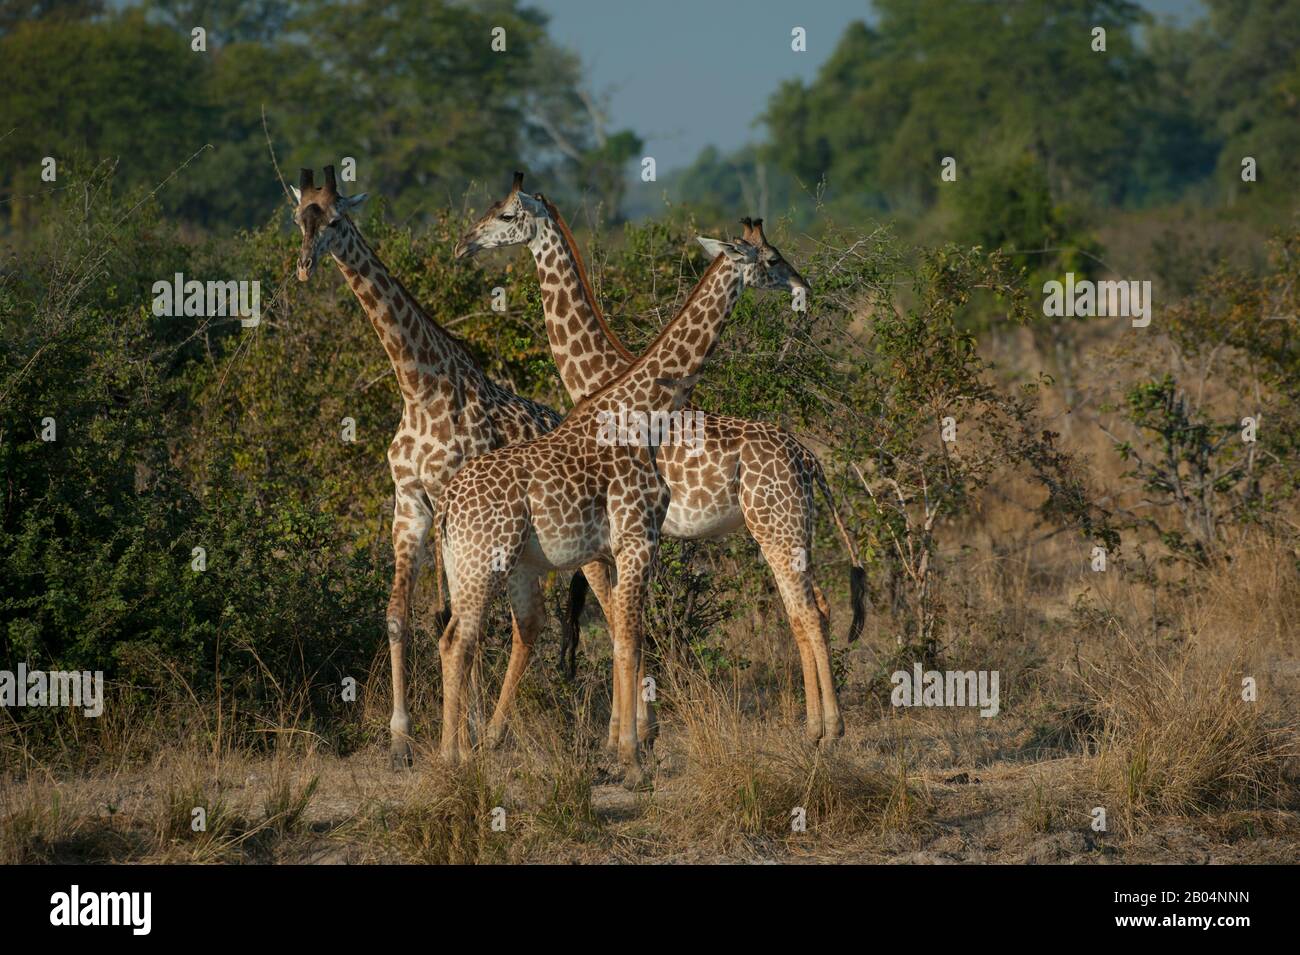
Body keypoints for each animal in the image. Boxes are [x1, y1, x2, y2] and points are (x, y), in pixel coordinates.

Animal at [289, 165, 610, 769]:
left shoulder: (446, 501)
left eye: (337, 220)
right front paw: (401, 740)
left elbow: (449, 619)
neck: (420, 387)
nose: (304, 264)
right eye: (299, 218)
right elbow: (399, 615)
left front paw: (463, 729)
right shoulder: (409, 500)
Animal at [437, 230, 803, 786]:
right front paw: (632, 757)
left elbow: (624, 636)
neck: (642, 409)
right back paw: (452, 758)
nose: (802, 286)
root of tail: (446, 505)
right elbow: (628, 638)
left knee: (452, 640)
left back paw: (456, 752)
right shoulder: (635, 539)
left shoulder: (622, 546)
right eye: (773, 259)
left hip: (469, 566)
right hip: (485, 562)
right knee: (460, 642)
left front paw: (627, 748)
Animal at [454, 176, 865, 746]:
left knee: (806, 610)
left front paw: (631, 734)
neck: (600, 374)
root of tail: (811, 461)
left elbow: (623, 624)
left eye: (507, 214)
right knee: (813, 609)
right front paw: (633, 731)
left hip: (777, 528)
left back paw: (825, 728)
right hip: (785, 529)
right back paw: (818, 725)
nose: (464, 244)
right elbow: (626, 624)